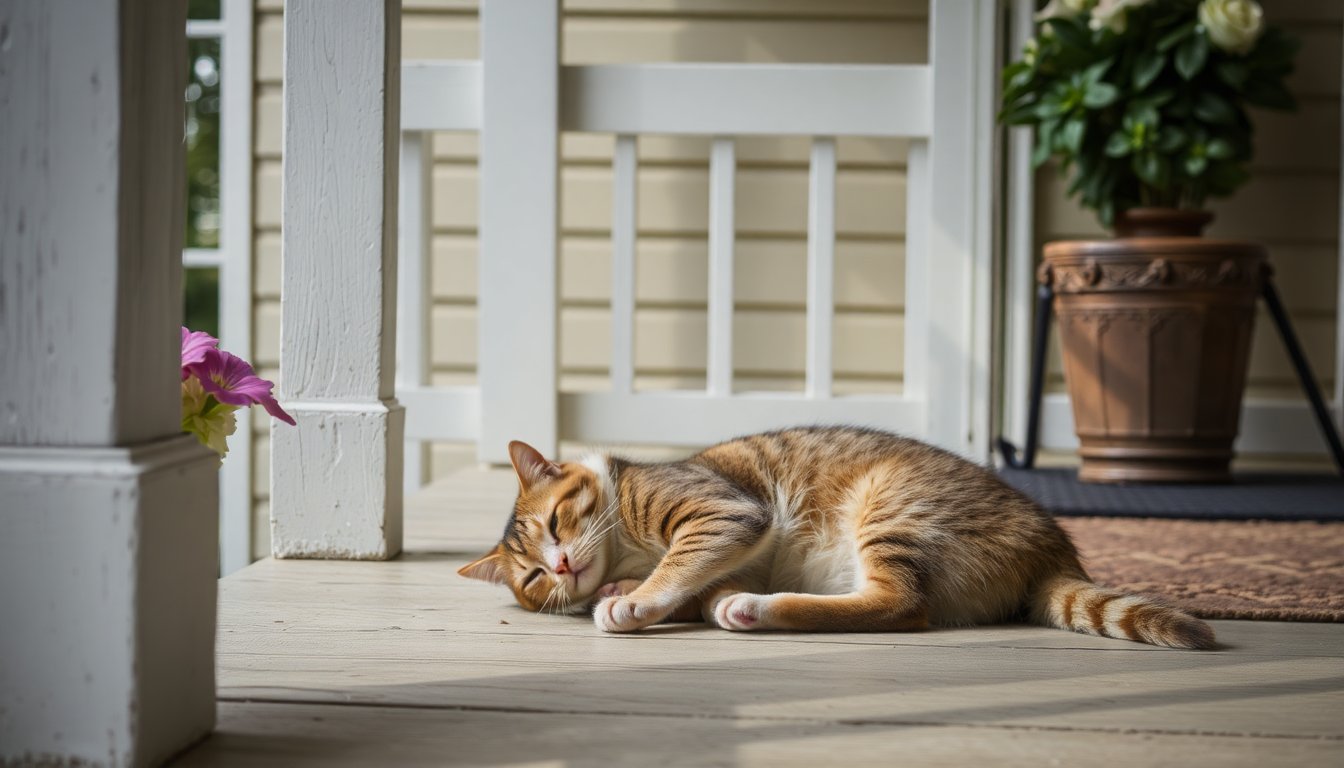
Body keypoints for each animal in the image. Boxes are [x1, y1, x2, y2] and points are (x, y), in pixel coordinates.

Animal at [459, 427, 1220, 648]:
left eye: (556, 523)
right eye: (532, 577)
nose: (561, 565)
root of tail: (1054, 548)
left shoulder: (720, 514)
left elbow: (675, 568)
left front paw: (631, 598)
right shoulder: (730, 556)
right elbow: (693, 581)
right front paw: (624, 592)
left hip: (891, 507)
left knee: (900, 604)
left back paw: (754, 610)